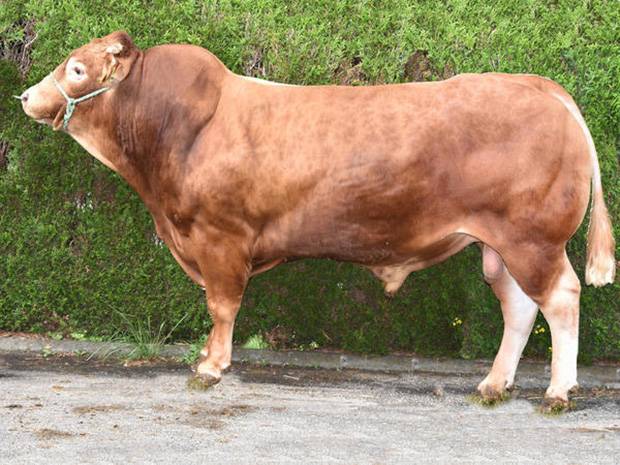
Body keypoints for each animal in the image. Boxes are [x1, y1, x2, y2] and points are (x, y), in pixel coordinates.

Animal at [19, 31, 616, 406]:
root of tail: (539, 85)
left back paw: (557, 392)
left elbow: (221, 305)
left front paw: (211, 367)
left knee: (560, 298)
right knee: (518, 306)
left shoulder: (219, 237)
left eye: (77, 69)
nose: (25, 96)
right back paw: (494, 384)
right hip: (501, 245)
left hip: (532, 239)